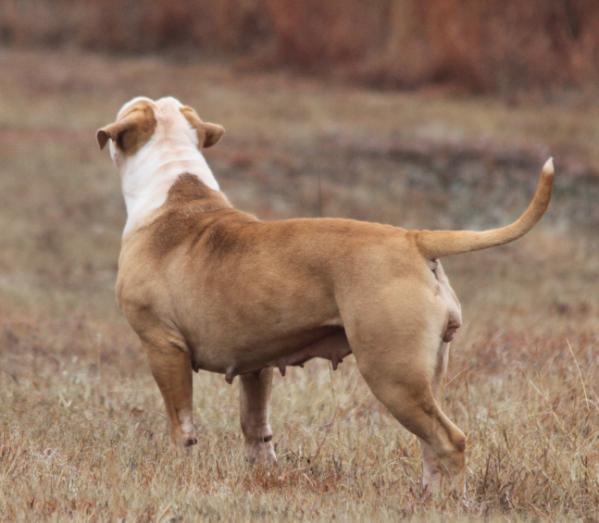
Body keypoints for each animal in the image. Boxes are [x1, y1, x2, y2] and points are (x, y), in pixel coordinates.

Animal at [97, 96, 552, 494]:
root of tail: (414, 239)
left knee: (448, 440)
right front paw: (264, 475)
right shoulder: (255, 363)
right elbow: (255, 426)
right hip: (425, 375)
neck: (173, 187)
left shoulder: (163, 347)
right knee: (430, 441)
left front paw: (180, 470)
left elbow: (182, 423)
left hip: (392, 373)